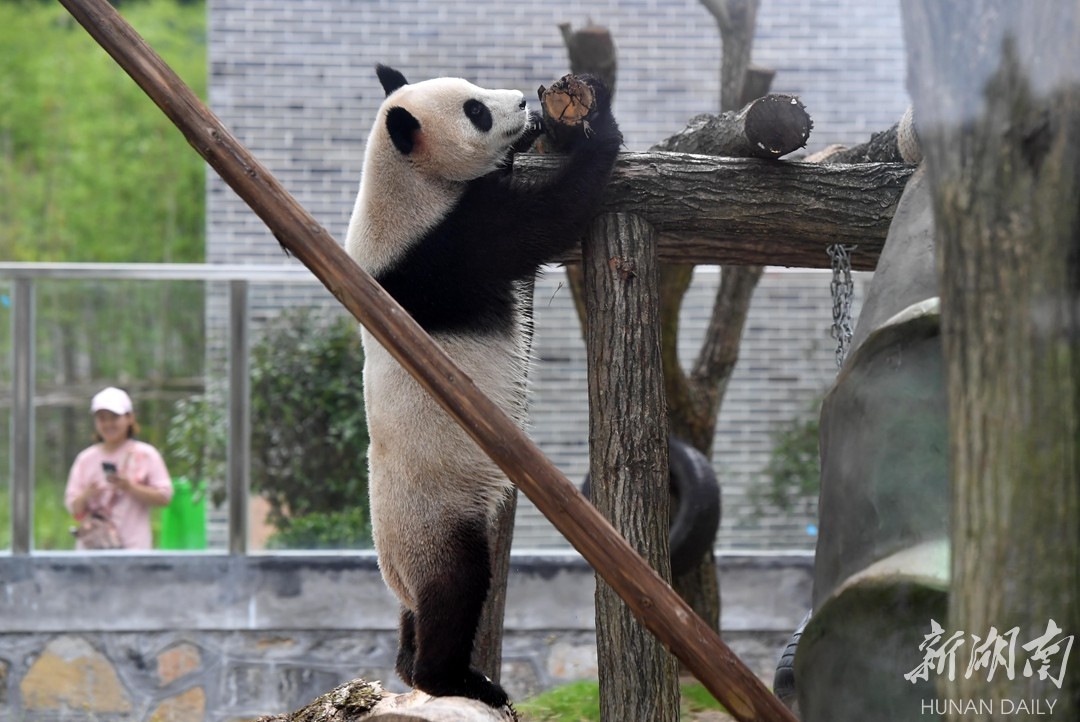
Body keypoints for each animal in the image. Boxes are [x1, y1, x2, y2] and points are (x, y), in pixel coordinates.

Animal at [345, 64, 621, 707]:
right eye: (475, 110)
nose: (521, 102)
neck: (404, 180)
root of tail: (393, 569)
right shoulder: (442, 247)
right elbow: (539, 226)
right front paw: (600, 129)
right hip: (434, 518)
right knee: (458, 585)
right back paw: (455, 679)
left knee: (420, 612)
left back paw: (408, 659)